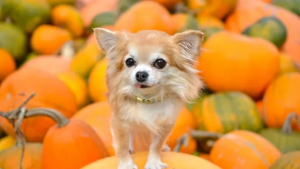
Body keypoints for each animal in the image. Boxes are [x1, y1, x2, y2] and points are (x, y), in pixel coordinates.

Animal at [95, 28, 205, 169]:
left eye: (160, 63)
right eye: (129, 62)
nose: (141, 74)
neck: (148, 99)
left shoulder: (165, 125)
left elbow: (156, 145)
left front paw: (154, 162)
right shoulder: (120, 121)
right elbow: (122, 145)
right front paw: (126, 164)